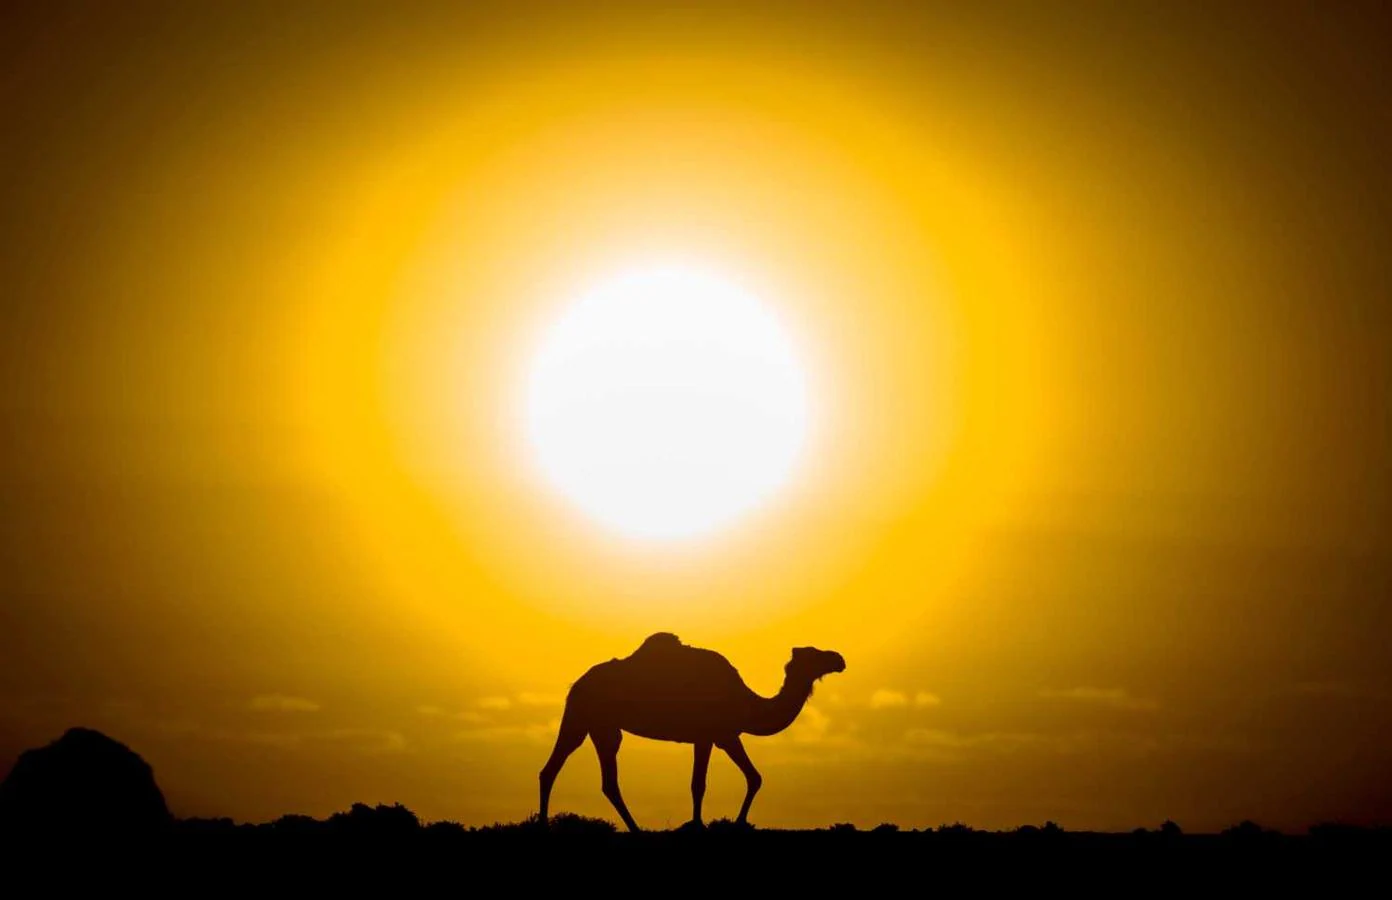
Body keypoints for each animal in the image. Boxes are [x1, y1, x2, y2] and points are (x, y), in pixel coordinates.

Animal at [534, 634, 840, 829]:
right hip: (586, 716)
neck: (745, 703)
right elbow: (702, 784)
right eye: (814, 654)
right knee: (575, 771)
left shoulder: (722, 735)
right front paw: (702, 825)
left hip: (595, 724)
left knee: (575, 773)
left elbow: (752, 777)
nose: (839, 658)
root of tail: (577, 683)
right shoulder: (713, 735)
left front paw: (732, 822)